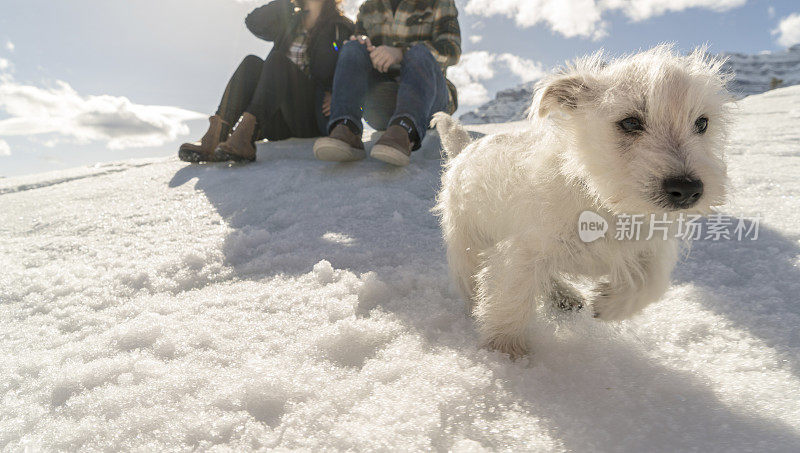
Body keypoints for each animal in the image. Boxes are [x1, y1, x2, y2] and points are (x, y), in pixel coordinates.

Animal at [434, 46, 728, 356]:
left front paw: (610, 304)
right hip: (465, 238)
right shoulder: (524, 248)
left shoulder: (650, 245)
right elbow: (511, 297)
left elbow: (652, 281)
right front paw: (505, 350)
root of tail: (465, 148)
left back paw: (564, 296)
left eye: (702, 123)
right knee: (470, 275)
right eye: (630, 122)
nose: (688, 189)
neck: (603, 202)